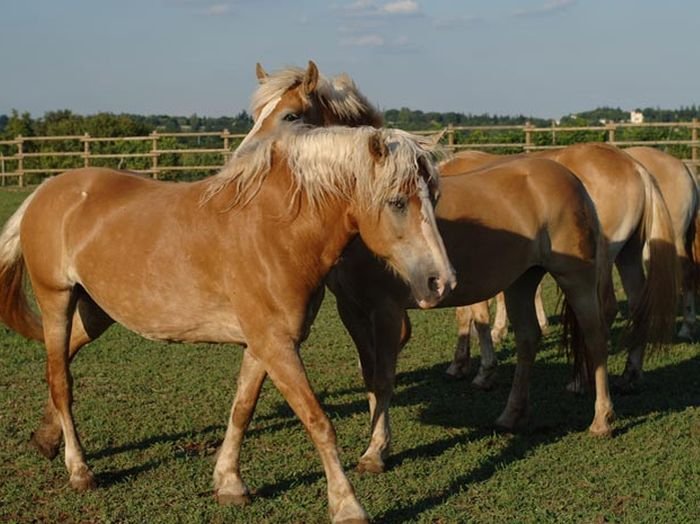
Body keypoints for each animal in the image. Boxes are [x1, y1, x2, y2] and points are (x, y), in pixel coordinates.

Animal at [0, 124, 454, 524]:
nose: (442, 282)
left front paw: (230, 483)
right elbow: (318, 422)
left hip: (96, 313)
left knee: (57, 368)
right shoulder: (276, 344)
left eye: (434, 197)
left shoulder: (262, 343)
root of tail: (46, 191)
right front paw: (347, 506)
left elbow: (242, 409)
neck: (274, 231)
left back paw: (45, 438)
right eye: (397, 202)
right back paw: (79, 469)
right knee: (61, 381)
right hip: (56, 301)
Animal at [326, 156, 612, 474]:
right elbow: (369, 375)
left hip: (576, 278)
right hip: (521, 282)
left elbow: (383, 378)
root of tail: (570, 178)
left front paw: (377, 450)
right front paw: (375, 440)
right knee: (528, 339)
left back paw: (602, 420)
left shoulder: (386, 310)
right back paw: (510, 415)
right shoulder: (350, 309)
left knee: (595, 339)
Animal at [442, 145, 680, 390]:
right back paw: (629, 375)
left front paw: (479, 369)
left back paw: (581, 379)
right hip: (628, 255)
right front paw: (463, 362)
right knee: (638, 304)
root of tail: (635, 167)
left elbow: (475, 315)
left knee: (603, 311)